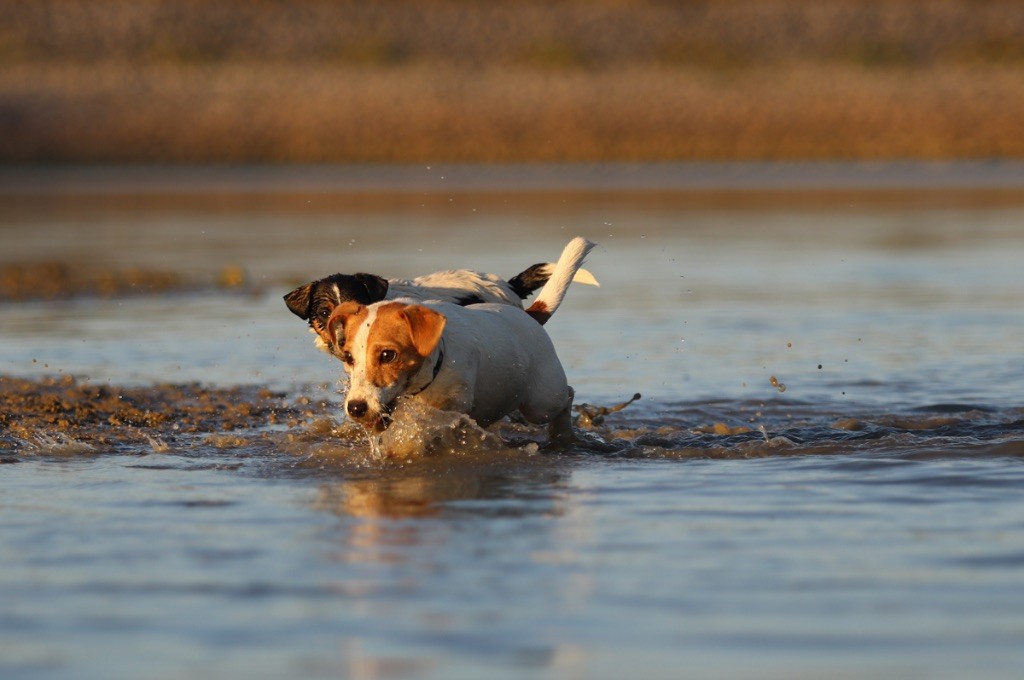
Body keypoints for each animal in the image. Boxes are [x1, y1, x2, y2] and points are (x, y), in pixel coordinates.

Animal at [327, 237, 598, 440]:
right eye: (348, 357)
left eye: (387, 355)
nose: (356, 407)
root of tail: (530, 315)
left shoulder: (451, 407)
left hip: (541, 402)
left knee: (567, 397)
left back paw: (562, 435)